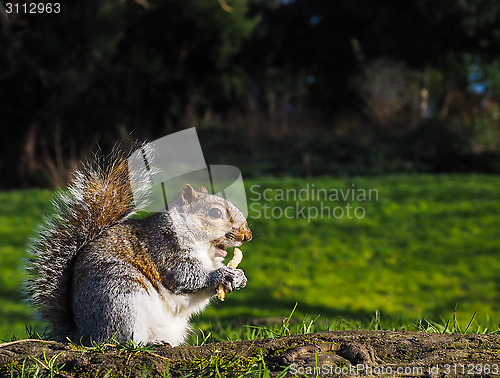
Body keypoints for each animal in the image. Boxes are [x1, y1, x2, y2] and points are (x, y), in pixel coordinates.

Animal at [25, 145, 252, 346]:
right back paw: (147, 344)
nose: (247, 236)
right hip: (121, 296)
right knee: (119, 340)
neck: (205, 250)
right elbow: (184, 276)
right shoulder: (165, 249)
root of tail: (83, 334)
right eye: (215, 213)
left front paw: (239, 276)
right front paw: (221, 275)